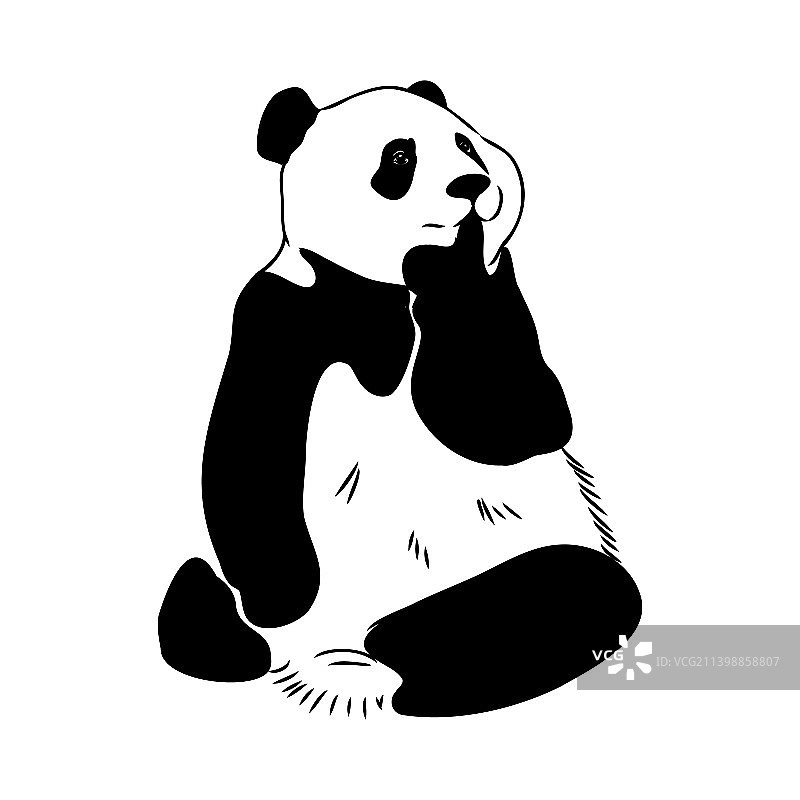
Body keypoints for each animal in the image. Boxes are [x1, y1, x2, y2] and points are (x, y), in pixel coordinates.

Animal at [158, 80, 642, 717]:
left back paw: (414, 660)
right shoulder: (277, 316)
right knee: (194, 591)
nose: (472, 185)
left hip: (527, 567)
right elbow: (247, 454)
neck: (386, 288)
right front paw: (280, 594)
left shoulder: (497, 300)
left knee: (568, 593)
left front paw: (457, 251)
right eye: (398, 157)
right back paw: (234, 635)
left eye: (464, 143)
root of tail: (344, 666)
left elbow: (519, 417)